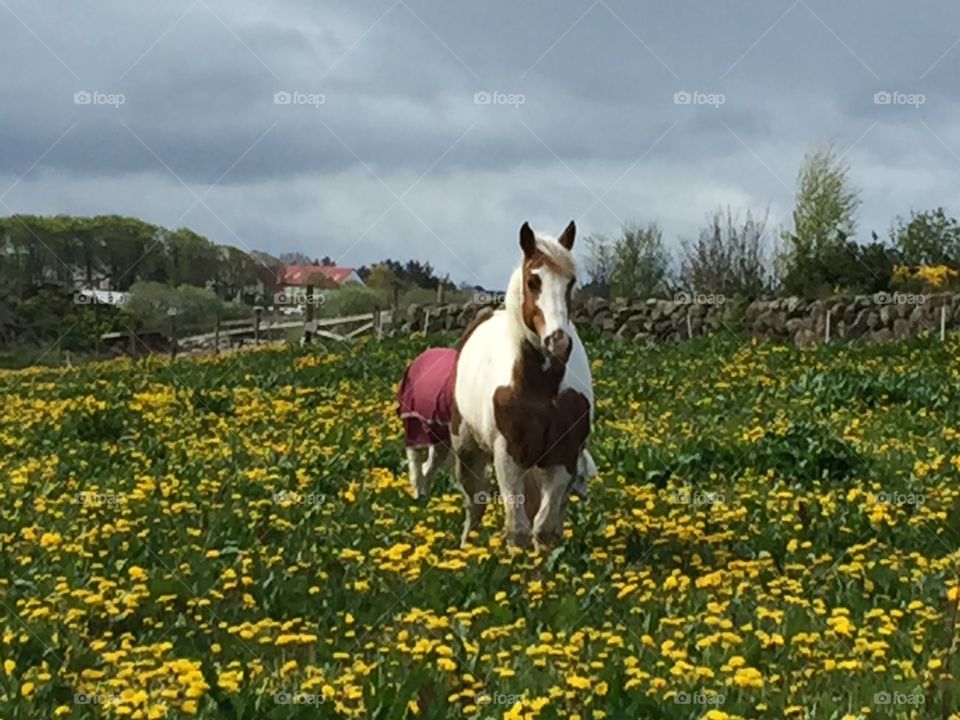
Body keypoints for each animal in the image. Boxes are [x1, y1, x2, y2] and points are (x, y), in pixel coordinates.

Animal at [448, 219, 592, 544]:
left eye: (570, 282)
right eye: (533, 281)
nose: (558, 343)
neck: (542, 388)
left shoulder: (562, 456)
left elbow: (545, 529)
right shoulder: (507, 456)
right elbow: (518, 530)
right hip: (467, 451)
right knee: (474, 504)